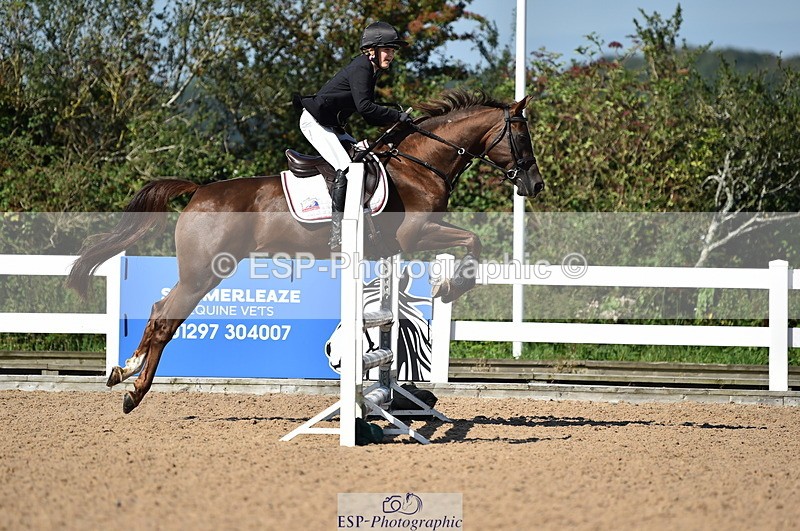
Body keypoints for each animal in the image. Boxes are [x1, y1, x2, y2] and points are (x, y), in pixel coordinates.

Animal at [67, 89, 545, 413]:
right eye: (521, 136)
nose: (535, 185)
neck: (420, 165)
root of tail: (199, 190)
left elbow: (468, 243)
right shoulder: (417, 235)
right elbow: (472, 241)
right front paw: (450, 287)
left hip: (202, 272)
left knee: (157, 310)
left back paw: (124, 371)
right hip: (204, 273)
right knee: (166, 318)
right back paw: (135, 391)